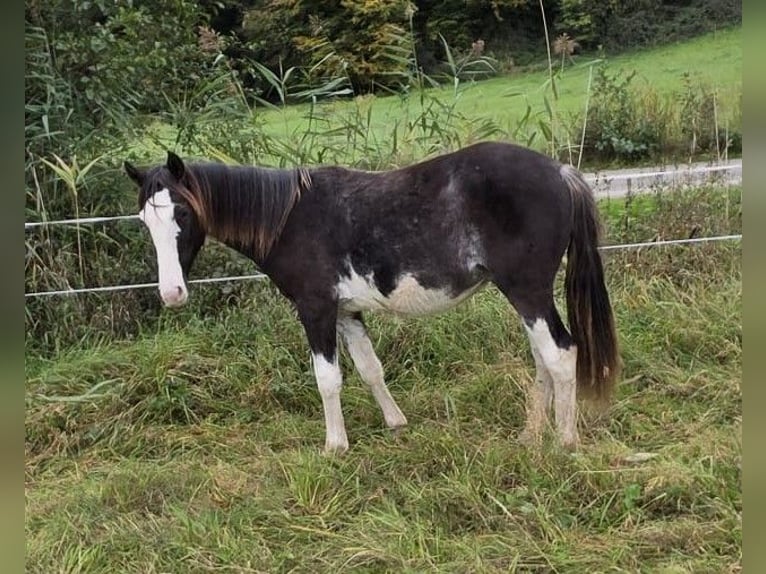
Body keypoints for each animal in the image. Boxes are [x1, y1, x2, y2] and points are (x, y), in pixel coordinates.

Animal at [124, 141, 620, 454]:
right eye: (144, 219)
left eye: (182, 212)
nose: (172, 294)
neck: (287, 218)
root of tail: (560, 172)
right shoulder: (347, 312)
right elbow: (369, 369)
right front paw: (396, 424)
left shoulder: (316, 310)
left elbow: (328, 379)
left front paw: (334, 447)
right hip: (524, 296)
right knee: (543, 359)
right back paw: (531, 436)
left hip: (527, 290)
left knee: (560, 354)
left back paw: (564, 443)